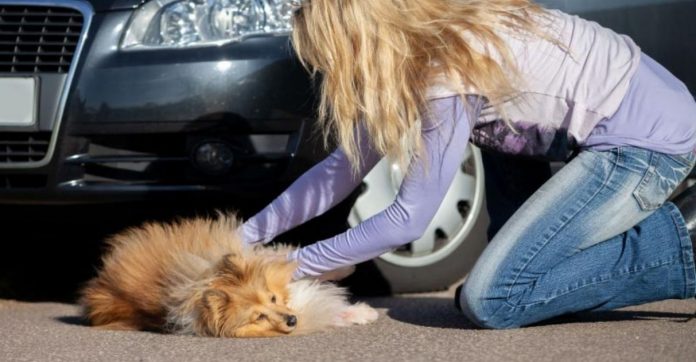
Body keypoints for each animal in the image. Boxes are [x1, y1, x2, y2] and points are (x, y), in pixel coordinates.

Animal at [79, 212, 378, 336]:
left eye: (272, 298)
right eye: (259, 317)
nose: (292, 320)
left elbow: (284, 257)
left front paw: (346, 268)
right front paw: (361, 313)